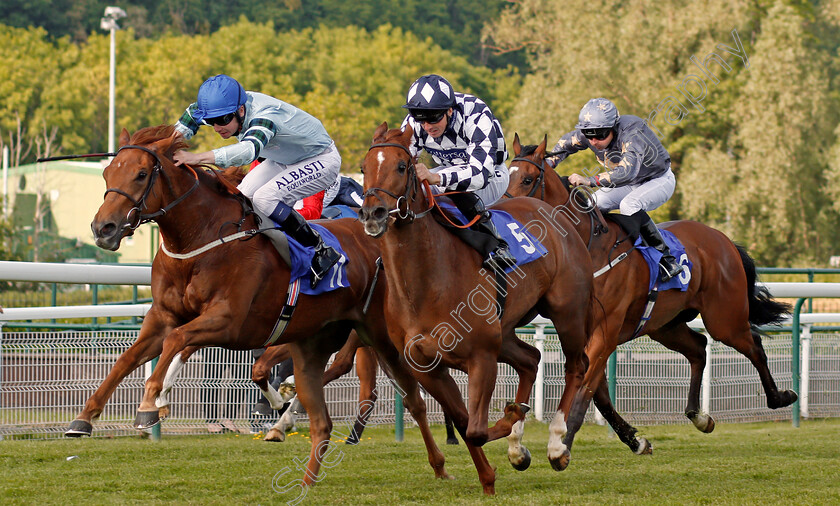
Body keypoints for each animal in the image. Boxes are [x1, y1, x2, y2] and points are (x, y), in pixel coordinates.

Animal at [81, 124, 450, 488]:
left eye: (141, 174)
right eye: (107, 172)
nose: (103, 228)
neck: (201, 240)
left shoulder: (229, 321)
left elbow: (178, 341)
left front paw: (149, 403)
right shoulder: (164, 315)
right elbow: (131, 356)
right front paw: (85, 417)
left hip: (377, 333)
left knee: (408, 393)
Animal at [358, 122, 592, 490]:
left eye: (402, 166)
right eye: (364, 167)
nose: (373, 213)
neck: (426, 281)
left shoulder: (481, 355)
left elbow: (476, 429)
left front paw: (511, 419)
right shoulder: (427, 366)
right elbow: (461, 420)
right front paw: (488, 476)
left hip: (567, 311)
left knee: (576, 366)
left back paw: (555, 445)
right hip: (505, 330)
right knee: (531, 358)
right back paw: (518, 445)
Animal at [506, 135, 796, 470]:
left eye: (528, 179)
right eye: (506, 174)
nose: (505, 211)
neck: (589, 247)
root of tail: (722, 239)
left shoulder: (605, 332)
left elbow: (586, 391)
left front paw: (561, 446)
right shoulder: (587, 333)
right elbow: (599, 393)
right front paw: (636, 440)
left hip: (725, 319)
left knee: (754, 346)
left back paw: (780, 397)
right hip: (665, 324)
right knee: (699, 347)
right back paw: (699, 416)